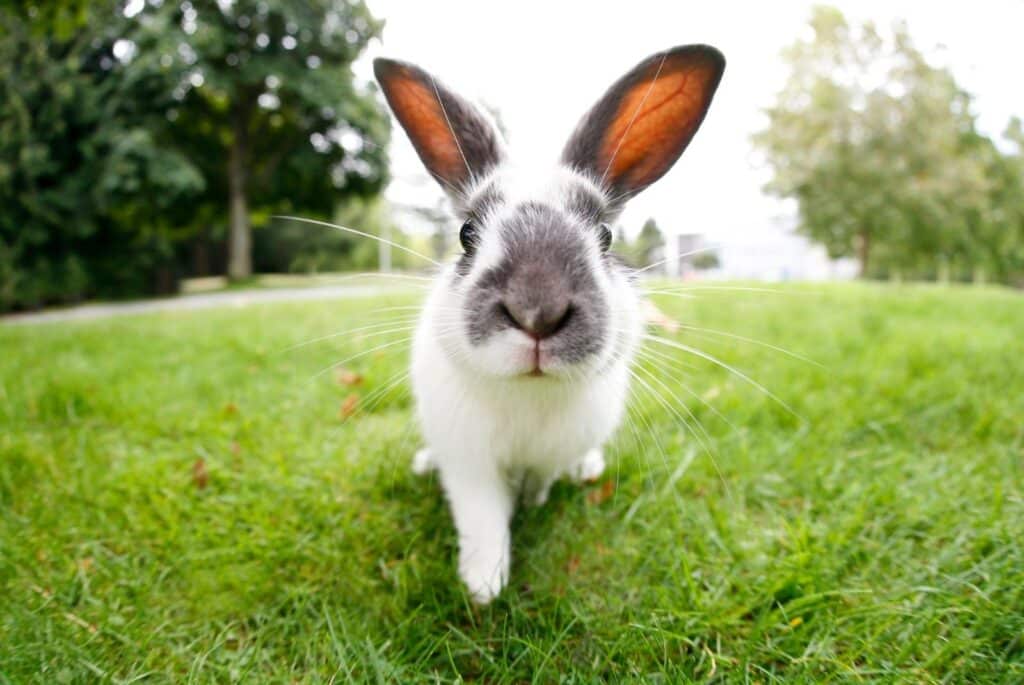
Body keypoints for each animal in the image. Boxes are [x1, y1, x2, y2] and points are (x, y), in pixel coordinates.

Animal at [373, 44, 725, 603]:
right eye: (467, 233)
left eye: (605, 236)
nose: (537, 310)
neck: (528, 393)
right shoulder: (469, 465)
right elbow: (484, 520)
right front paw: (483, 586)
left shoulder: (549, 454)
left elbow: (538, 483)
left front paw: (531, 507)